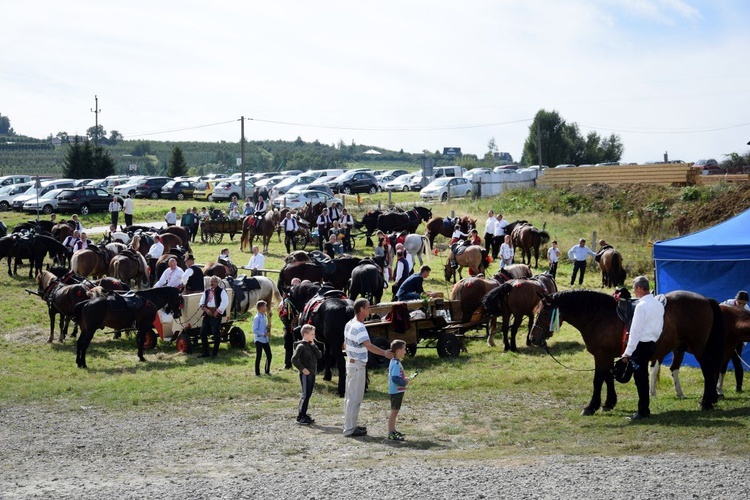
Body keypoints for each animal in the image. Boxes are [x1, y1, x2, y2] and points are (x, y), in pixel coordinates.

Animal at [532, 290, 724, 414]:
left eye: (543, 313)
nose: (533, 338)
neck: (598, 316)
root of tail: (706, 300)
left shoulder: (601, 355)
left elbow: (598, 380)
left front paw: (591, 406)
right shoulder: (608, 356)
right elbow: (608, 378)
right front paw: (609, 403)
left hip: (698, 348)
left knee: (708, 369)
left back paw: (706, 401)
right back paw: (710, 399)